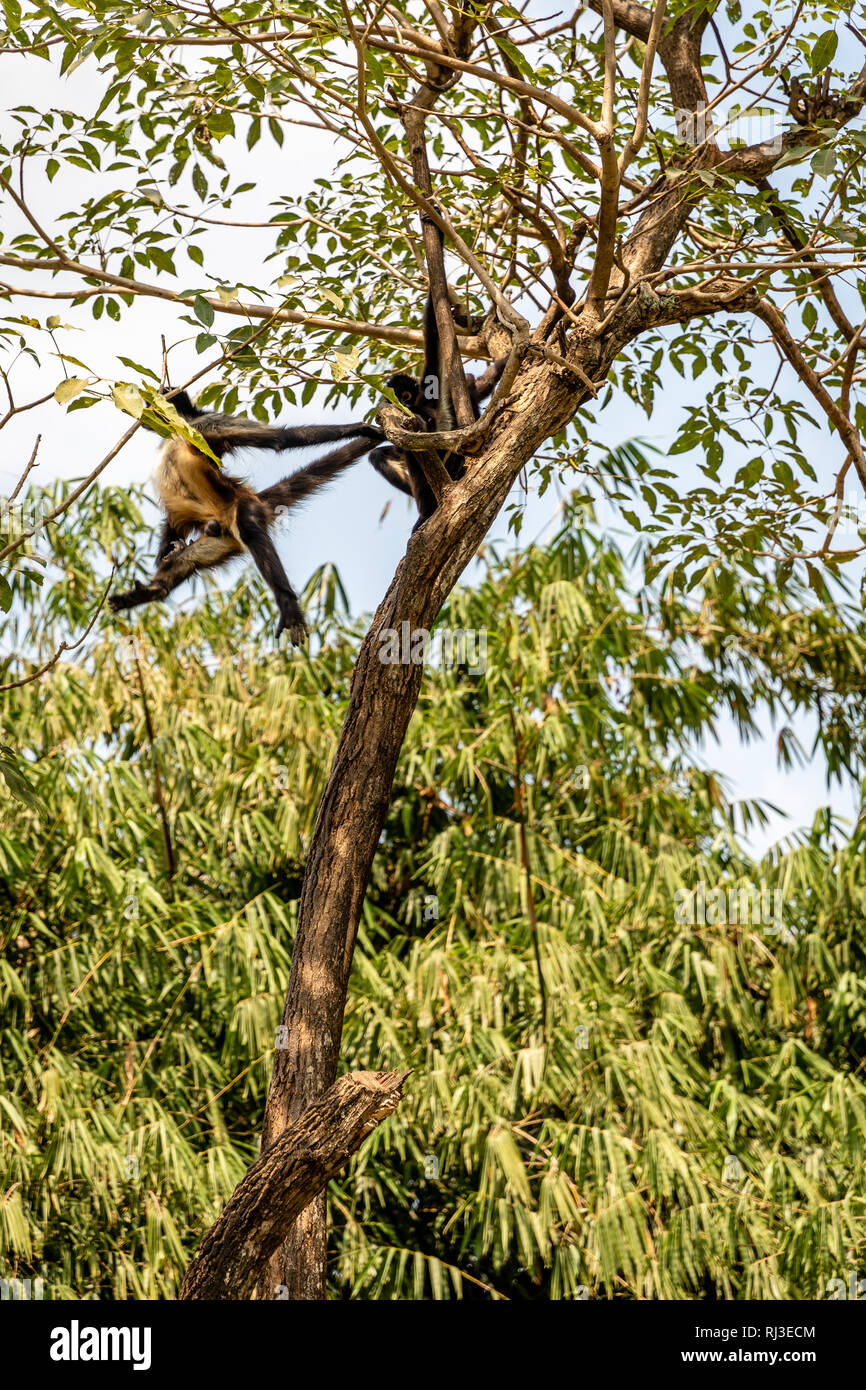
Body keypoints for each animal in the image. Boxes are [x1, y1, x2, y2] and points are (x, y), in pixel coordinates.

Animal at [108, 391, 383, 644]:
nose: (143, 415)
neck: (180, 426)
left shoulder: (212, 422)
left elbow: (279, 440)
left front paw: (359, 427)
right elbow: (170, 532)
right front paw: (167, 553)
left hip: (243, 506)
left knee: (249, 527)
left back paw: (288, 605)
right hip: (222, 539)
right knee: (187, 560)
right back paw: (154, 590)